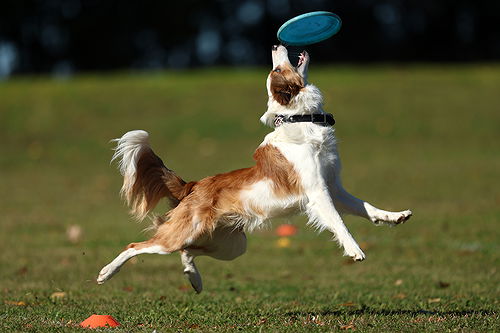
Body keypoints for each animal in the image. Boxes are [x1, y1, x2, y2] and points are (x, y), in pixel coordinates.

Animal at [95, 45, 412, 292]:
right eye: (277, 69)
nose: (275, 44)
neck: (301, 120)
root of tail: (194, 185)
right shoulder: (318, 193)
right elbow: (339, 223)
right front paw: (355, 249)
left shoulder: (335, 188)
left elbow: (367, 207)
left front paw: (394, 216)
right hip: (183, 235)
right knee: (135, 246)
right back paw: (107, 273)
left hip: (231, 245)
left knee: (186, 252)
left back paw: (194, 279)